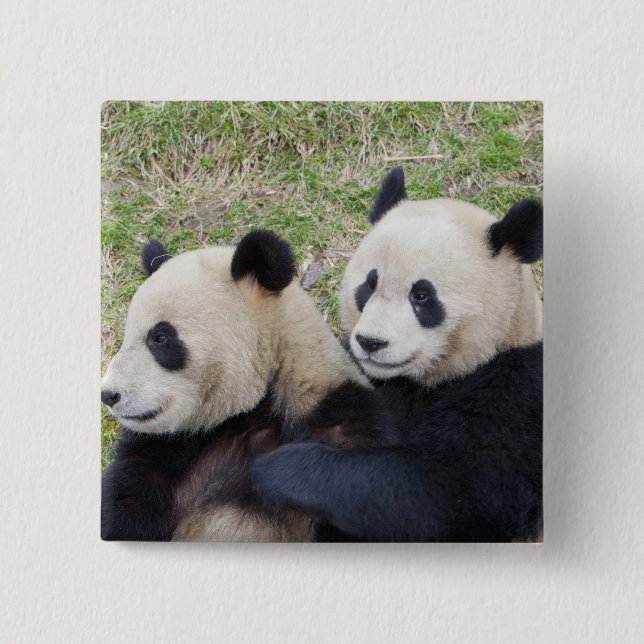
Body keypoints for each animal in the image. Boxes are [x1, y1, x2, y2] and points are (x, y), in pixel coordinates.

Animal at [250, 167, 543, 542]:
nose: (370, 342)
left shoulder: (516, 395)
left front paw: (279, 467)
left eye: (422, 295)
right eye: (369, 284)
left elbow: (449, 491)